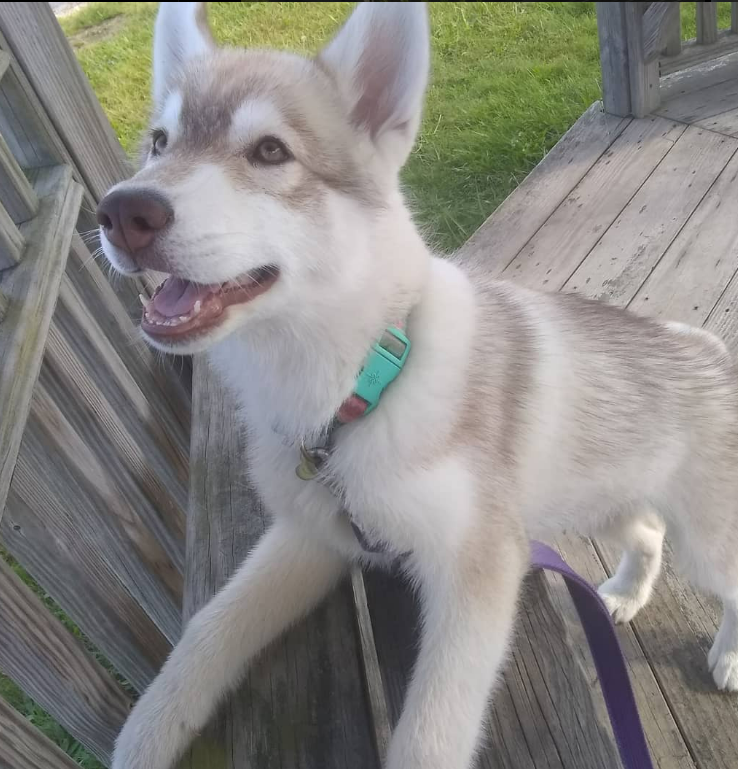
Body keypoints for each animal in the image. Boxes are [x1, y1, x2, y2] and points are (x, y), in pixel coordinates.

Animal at [96, 3, 736, 764]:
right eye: (159, 143)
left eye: (270, 152)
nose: (122, 212)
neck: (363, 385)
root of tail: (708, 349)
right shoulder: (313, 536)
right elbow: (208, 629)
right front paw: (146, 733)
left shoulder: (477, 567)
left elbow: (432, 732)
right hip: (598, 494)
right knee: (644, 529)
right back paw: (625, 594)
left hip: (704, 538)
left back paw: (728, 653)